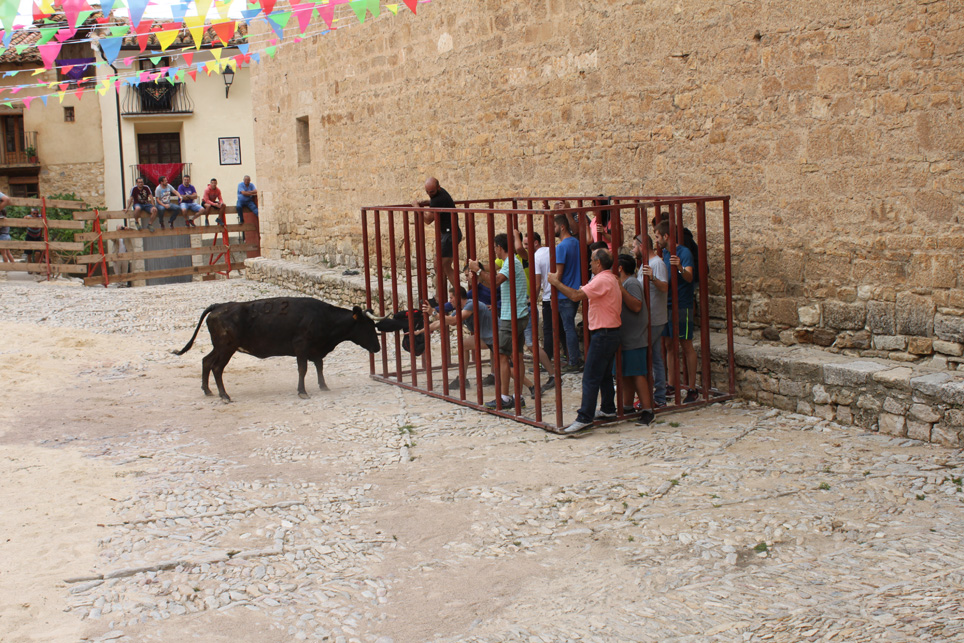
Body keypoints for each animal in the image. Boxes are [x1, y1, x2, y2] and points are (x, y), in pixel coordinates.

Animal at [173, 297, 403, 401]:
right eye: (367, 326)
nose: (377, 347)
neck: (324, 319)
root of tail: (219, 306)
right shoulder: (301, 347)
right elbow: (303, 369)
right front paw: (302, 391)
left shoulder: (316, 349)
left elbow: (319, 366)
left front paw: (323, 386)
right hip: (226, 347)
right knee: (217, 367)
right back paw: (224, 395)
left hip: (220, 347)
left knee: (206, 361)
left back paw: (208, 390)